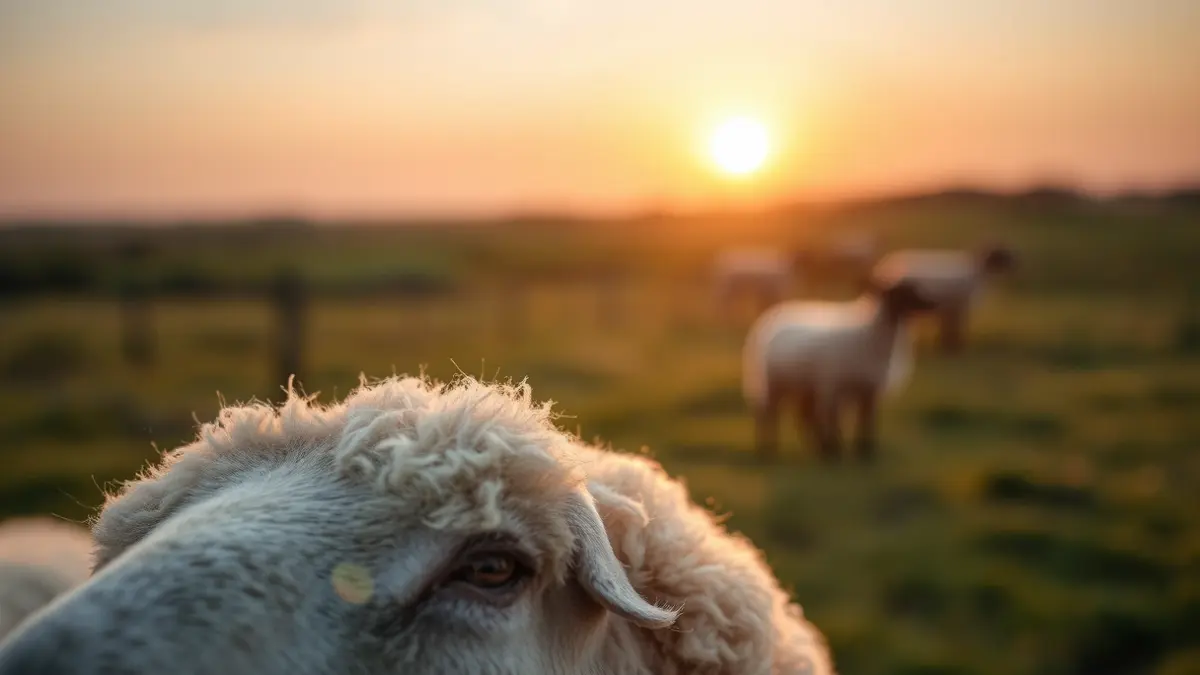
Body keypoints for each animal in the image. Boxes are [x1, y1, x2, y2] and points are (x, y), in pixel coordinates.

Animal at [743, 278, 938, 462]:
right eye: (904, 292)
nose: (932, 304)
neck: (869, 336)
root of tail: (771, 319)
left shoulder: (868, 391)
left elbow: (867, 421)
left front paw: (865, 452)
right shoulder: (833, 386)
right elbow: (833, 419)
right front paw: (835, 450)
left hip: (802, 385)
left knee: (800, 415)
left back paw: (813, 447)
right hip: (774, 382)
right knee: (768, 413)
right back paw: (768, 449)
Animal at [869, 244, 1017, 353]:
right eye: (1002, 255)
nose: (1018, 263)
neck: (978, 275)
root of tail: (883, 267)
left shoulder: (951, 307)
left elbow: (949, 328)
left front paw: (946, 347)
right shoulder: (960, 305)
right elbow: (955, 328)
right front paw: (955, 349)